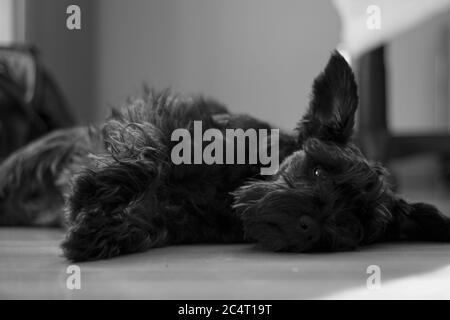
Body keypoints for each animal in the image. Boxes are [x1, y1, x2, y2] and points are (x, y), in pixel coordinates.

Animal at [0, 53, 450, 262]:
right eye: (319, 169)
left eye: (356, 223)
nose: (309, 226)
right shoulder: (168, 121)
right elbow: (145, 156)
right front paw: (92, 194)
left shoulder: (170, 219)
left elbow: (145, 222)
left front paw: (99, 232)